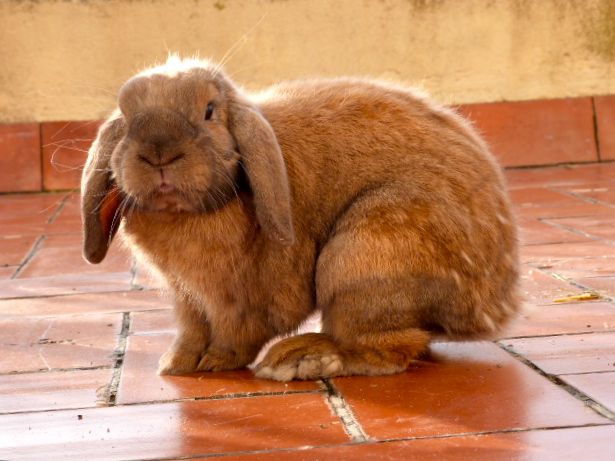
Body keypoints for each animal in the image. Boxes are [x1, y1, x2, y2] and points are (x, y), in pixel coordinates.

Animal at [80, 56, 520, 380]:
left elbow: (235, 335)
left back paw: (299, 360)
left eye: (209, 111)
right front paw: (176, 365)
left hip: (364, 257)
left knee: (387, 349)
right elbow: (191, 331)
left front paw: (215, 362)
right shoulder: (188, 300)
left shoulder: (237, 301)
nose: (158, 152)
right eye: (126, 116)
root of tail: (494, 307)